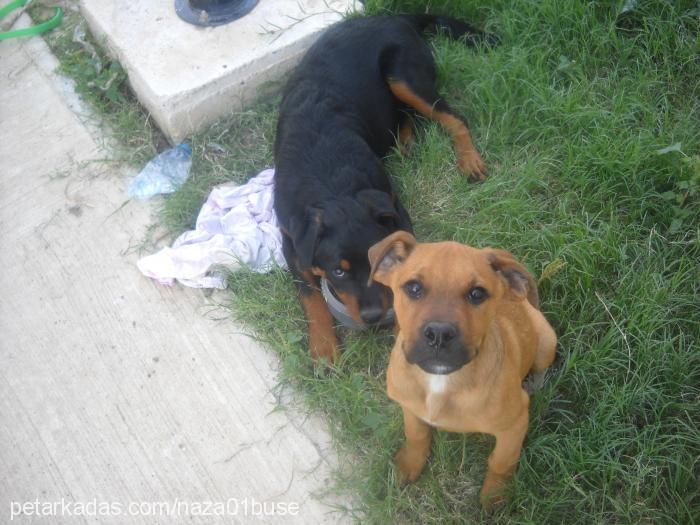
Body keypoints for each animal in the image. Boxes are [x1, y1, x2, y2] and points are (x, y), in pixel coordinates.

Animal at [274, 15, 498, 360]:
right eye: (338, 272)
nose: (374, 318)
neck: (330, 182)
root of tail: (398, 16)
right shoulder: (291, 240)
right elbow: (310, 296)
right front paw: (324, 350)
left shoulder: (397, 210)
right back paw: (405, 140)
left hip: (403, 76)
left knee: (451, 116)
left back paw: (469, 160)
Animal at [366, 230, 556, 508]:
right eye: (413, 288)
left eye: (477, 294)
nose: (439, 334)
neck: (440, 380)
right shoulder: (409, 406)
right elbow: (416, 435)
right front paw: (408, 465)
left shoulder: (514, 425)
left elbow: (502, 462)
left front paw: (495, 497)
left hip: (546, 342)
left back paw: (534, 384)